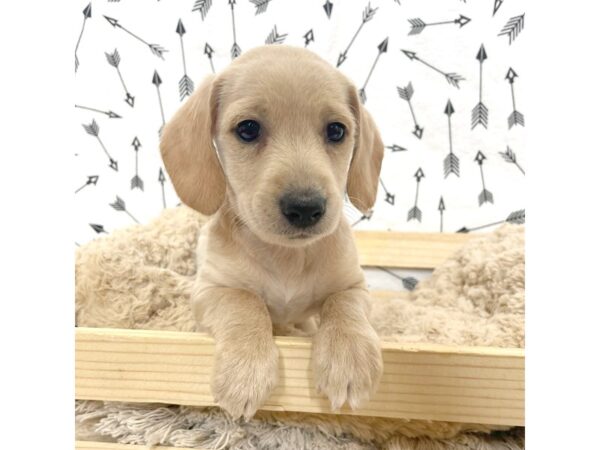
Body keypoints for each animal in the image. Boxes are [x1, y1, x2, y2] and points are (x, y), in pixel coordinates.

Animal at [159, 44, 384, 418]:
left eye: (337, 131)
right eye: (248, 129)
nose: (305, 207)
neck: (286, 256)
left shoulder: (356, 286)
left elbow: (344, 305)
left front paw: (349, 359)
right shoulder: (211, 290)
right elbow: (245, 303)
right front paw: (244, 373)